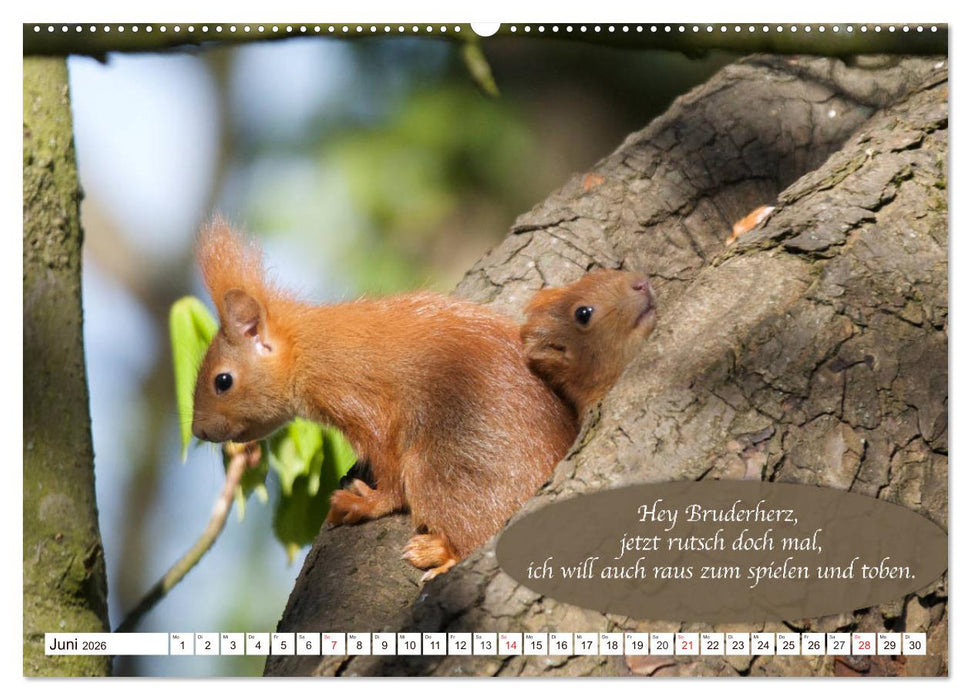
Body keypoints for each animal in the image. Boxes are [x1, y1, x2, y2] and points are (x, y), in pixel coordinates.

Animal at [190, 219, 576, 580]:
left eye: (222, 381)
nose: (199, 432)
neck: (306, 350)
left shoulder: (357, 400)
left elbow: (388, 468)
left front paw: (368, 503)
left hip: (439, 470)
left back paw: (441, 553)